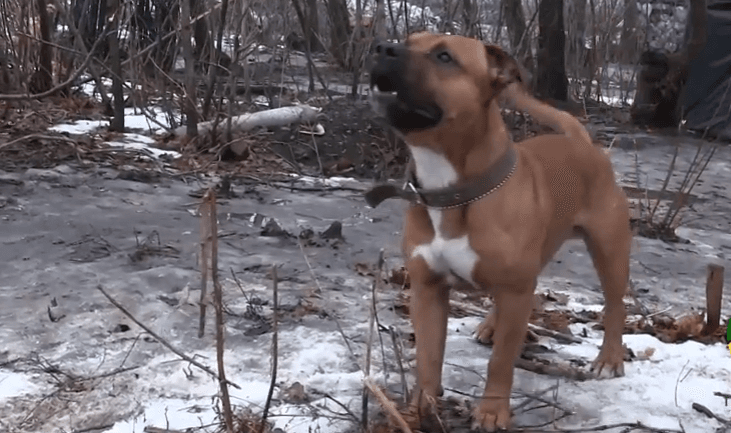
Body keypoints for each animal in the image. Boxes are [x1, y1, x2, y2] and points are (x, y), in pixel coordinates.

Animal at [368, 32, 632, 430]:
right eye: (408, 40)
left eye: (444, 57)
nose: (383, 48)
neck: (452, 187)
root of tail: (581, 143)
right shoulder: (428, 289)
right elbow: (428, 359)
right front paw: (418, 411)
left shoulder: (515, 289)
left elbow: (501, 363)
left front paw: (492, 412)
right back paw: (491, 325)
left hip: (609, 249)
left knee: (615, 306)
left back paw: (609, 358)